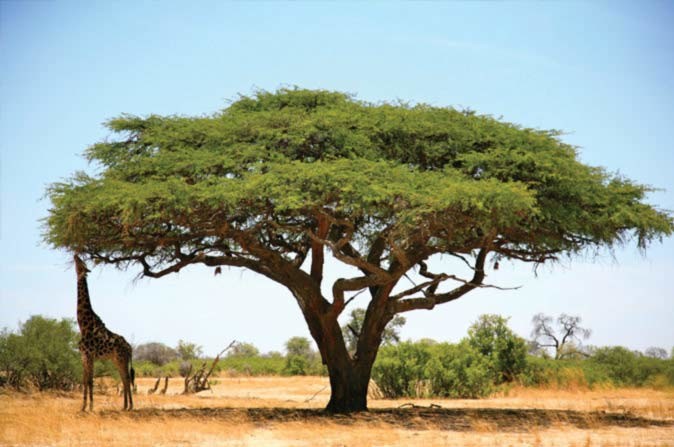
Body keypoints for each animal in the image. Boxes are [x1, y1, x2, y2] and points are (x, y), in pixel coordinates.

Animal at [74, 256, 135, 412]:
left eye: (80, 263)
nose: (75, 255)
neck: (84, 325)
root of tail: (130, 348)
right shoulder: (83, 357)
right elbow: (84, 380)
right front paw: (83, 407)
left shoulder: (89, 356)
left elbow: (90, 381)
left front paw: (90, 407)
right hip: (117, 360)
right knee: (124, 379)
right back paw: (125, 406)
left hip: (121, 359)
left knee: (126, 378)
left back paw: (130, 406)